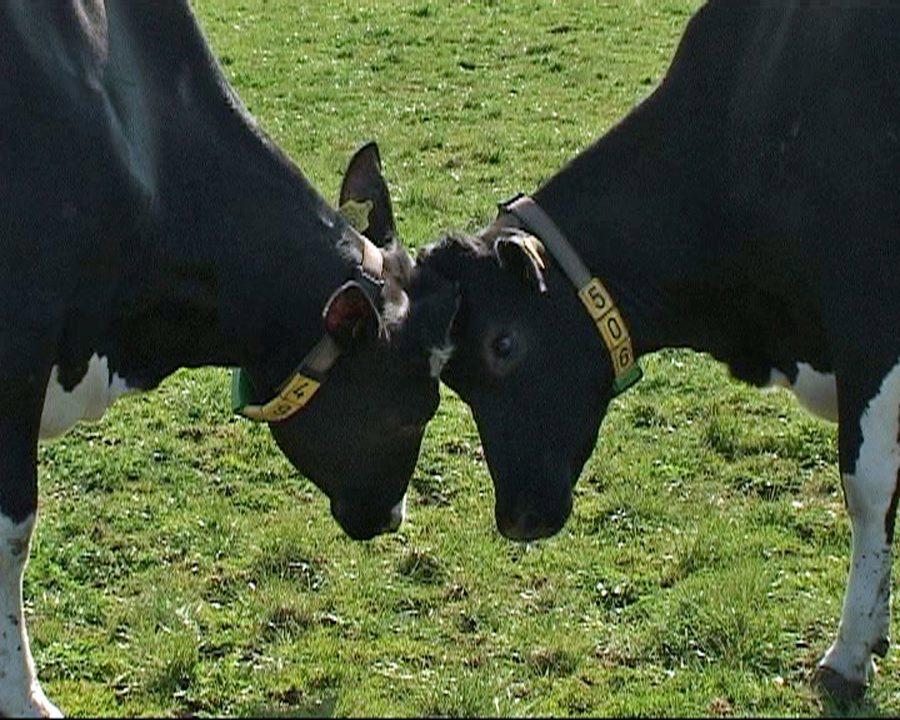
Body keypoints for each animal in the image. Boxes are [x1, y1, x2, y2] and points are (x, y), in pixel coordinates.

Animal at [418, 0, 900, 704]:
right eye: (455, 380)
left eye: (503, 343)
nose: (517, 517)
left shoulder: (872, 321)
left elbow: (867, 488)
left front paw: (849, 653)